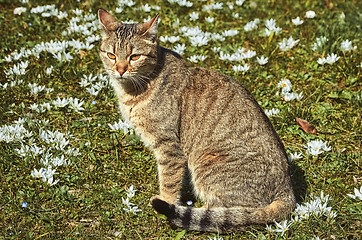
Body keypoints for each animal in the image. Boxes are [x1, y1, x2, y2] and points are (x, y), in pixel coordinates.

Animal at [97, 8, 296, 232]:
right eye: (111, 55)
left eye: (134, 56)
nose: (120, 70)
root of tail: (288, 191)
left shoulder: (169, 147)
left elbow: (169, 182)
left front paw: (165, 203)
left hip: (206, 164)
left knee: (230, 213)